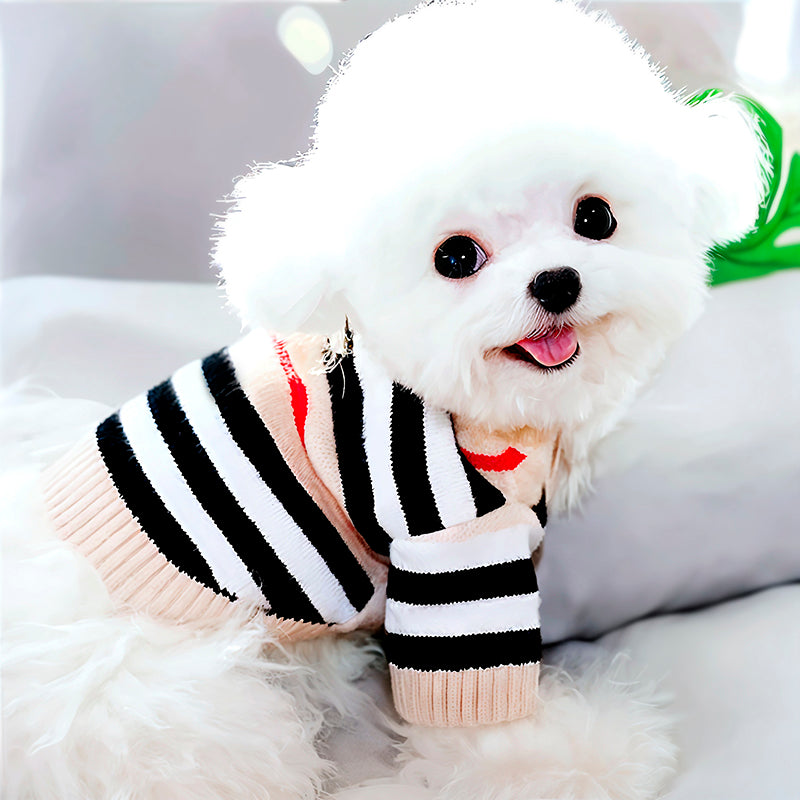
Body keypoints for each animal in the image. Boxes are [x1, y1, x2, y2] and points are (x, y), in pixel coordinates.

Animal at [4, 1, 768, 800]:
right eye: (456, 257)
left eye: (595, 218)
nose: (557, 282)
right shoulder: (445, 532)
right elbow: (474, 688)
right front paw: (567, 760)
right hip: (167, 700)